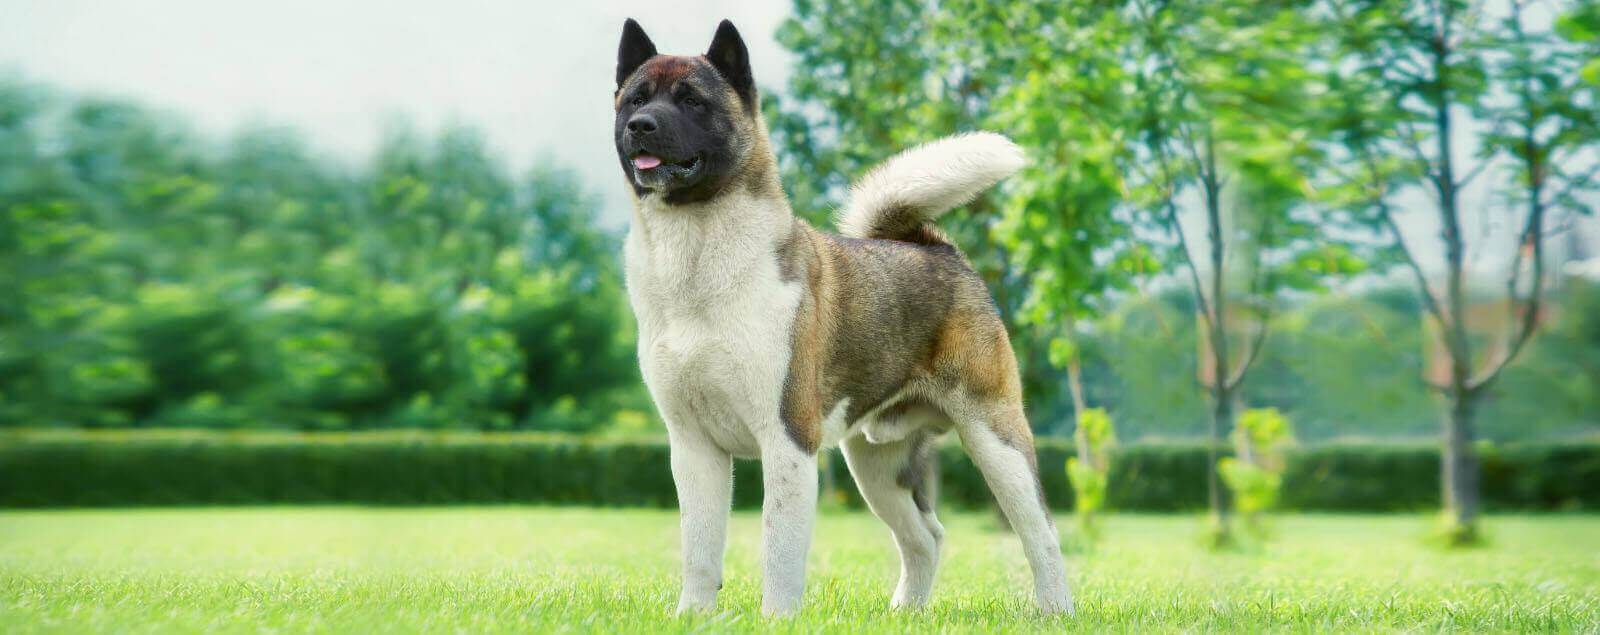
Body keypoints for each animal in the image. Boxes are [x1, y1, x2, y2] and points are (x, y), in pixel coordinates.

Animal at [611, 18, 1075, 614]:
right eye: (635, 99)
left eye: (692, 100)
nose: (641, 126)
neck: (696, 256)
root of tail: (937, 249)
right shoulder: (693, 447)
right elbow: (700, 548)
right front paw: (693, 617)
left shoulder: (787, 438)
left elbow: (779, 550)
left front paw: (776, 620)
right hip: (877, 463)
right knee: (926, 536)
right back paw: (906, 613)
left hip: (996, 436)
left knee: (1040, 530)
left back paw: (1056, 610)